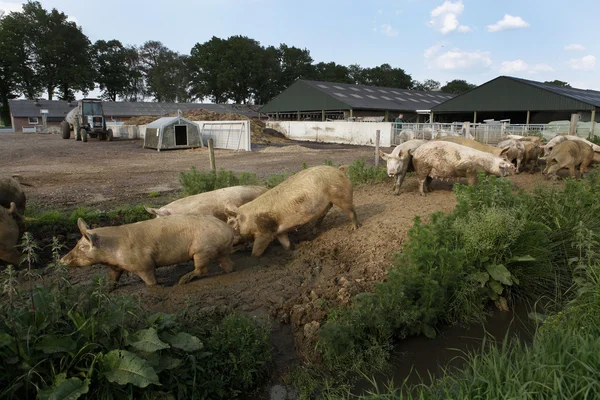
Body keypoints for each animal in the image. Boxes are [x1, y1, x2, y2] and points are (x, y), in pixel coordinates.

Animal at [60, 216, 234, 288]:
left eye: (82, 247)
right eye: (76, 244)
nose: (61, 260)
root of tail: (228, 230)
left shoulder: (143, 264)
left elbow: (150, 280)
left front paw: (158, 286)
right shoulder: (115, 266)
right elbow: (112, 279)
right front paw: (105, 290)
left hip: (201, 249)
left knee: (202, 269)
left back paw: (181, 282)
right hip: (218, 250)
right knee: (227, 265)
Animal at [224, 165, 356, 256]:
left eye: (231, 222)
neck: (248, 220)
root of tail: (339, 170)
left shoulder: (264, 233)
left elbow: (256, 252)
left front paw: (253, 257)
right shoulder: (279, 231)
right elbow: (285, 244)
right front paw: (292, 252)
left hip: (341, 196)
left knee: (351, 211)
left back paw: (354, 229)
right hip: (328, 202)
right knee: (324, 214)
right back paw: (314, 231)